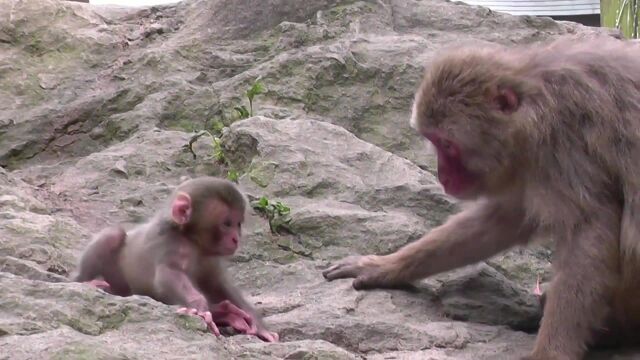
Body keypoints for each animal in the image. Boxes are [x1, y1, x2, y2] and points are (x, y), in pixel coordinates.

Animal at [73, 177, 278, 344]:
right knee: (113, 236)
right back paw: (87, 282)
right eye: (227, 224)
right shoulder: (170, 243)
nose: (236, 238)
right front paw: (200, 310)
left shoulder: (210, 258)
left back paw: (226, 312)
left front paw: (259, 326)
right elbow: (168, 275)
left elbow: (219, 284)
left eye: (238, 224)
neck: (192, 240)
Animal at [322, 37, 640, 360]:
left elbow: (587, 230)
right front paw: (386, 266)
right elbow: (502, 219)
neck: (533, 106)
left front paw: (550, 351)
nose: (443, 176)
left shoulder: (563, 144)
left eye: (448, 145)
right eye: (434, 141)